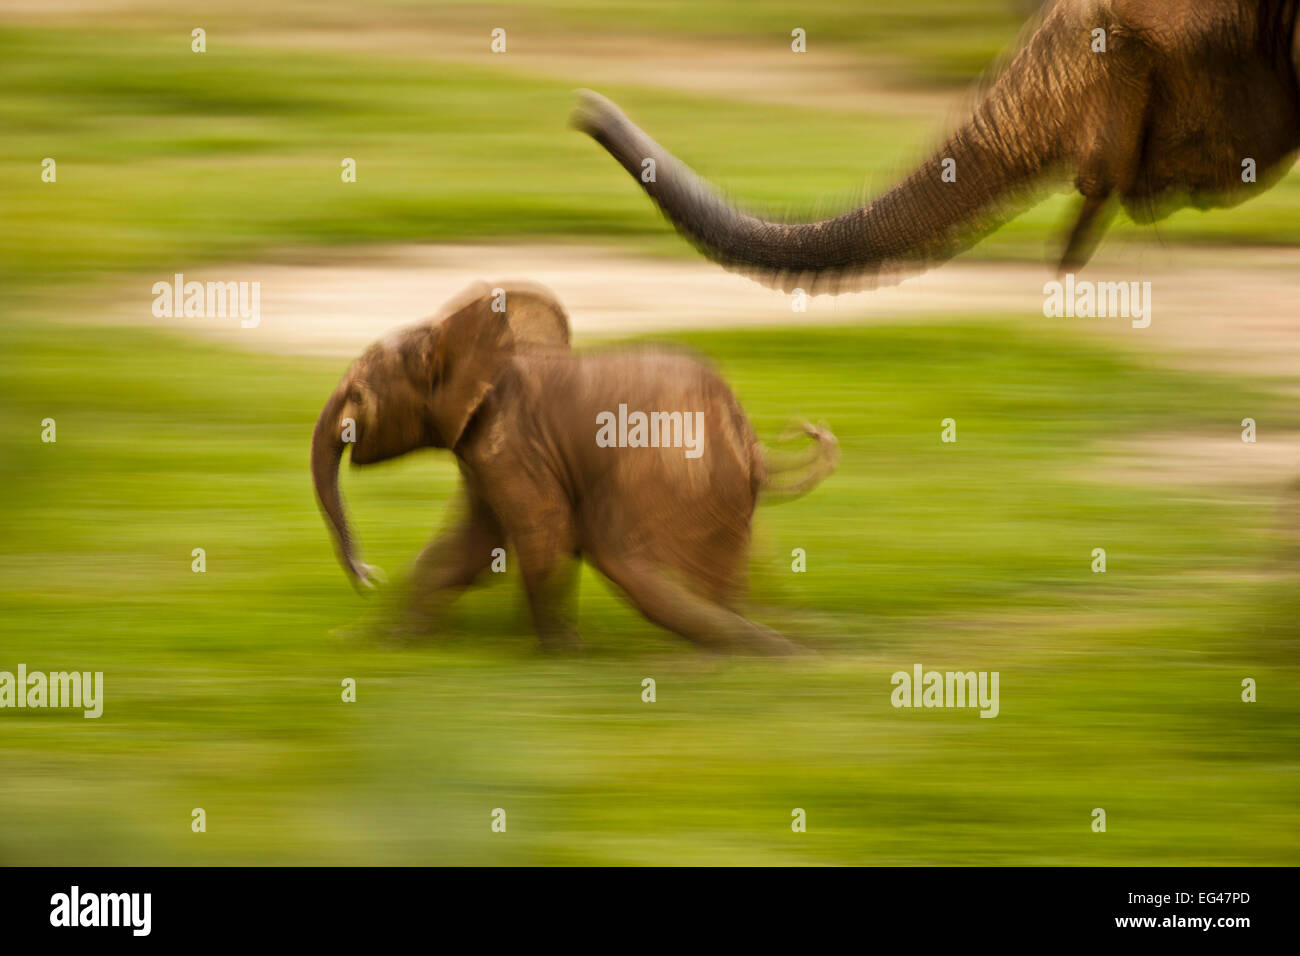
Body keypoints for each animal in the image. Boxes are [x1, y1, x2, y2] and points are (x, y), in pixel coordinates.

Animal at [315, 280, 842, 655]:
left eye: (357, 395)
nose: (369, 575)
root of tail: (753, 446)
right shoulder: (483, 448)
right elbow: (466, 547)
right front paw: (383, 643)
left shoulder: (511, 442)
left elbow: (544, 530)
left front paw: (563, 653)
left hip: (673, 477)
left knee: (627, 561)